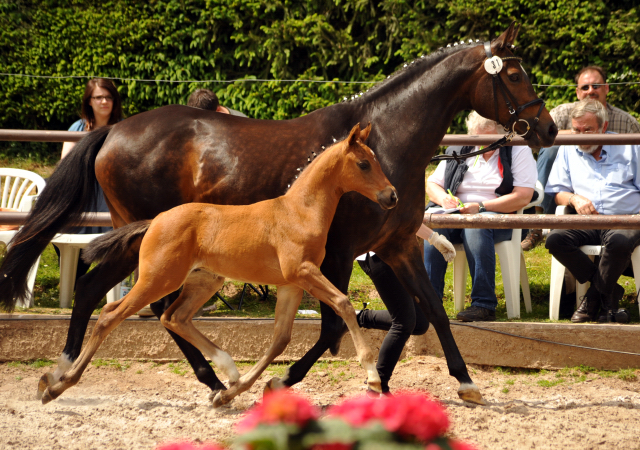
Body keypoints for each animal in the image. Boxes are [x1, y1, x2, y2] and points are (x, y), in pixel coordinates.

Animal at [41, 124, 396, 408]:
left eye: (376, 160)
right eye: (364, 164)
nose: (391, 195)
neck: (299, 212)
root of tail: (155, 221)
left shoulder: (291, 284)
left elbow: (280, 339)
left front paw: (234, 392)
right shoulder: (303, 272)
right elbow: (343, 303)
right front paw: (372, 378)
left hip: (203, 281)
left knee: (174, 317)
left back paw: (228, 371)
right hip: (158, 279)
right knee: (110, 315)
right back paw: (58, 385)